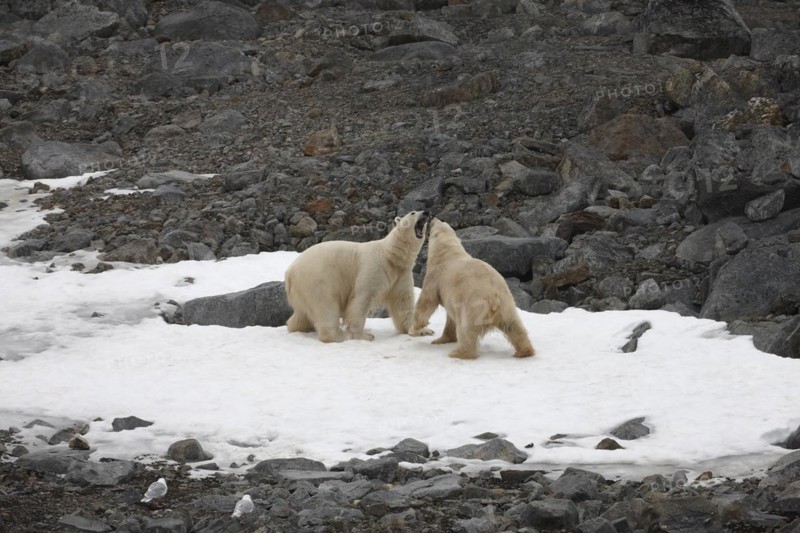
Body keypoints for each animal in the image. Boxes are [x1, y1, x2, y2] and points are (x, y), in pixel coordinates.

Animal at [284, 210, 431, 343]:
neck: (390, 255)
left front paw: (423, 331)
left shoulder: (401, 274)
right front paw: (364, 336)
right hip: (317, 280)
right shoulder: (374, 267)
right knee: (325, 306)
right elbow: (362, 298)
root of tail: (289, 272)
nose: (426, 212)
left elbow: (403, 302)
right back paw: (340, 336)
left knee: (301, 315)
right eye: (413, 213)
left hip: (302, 290)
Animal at [409, 218, 535, 360]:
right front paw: (441, 339)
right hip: (506, 304)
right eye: (443, 222)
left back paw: (458, 353)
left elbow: (427, 302)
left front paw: (415, 330)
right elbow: (450, 319)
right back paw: (525, 351)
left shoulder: (435, 276)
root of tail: (494, 298)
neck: (447, 252)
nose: (434, 218)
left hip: (473, 306)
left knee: (466, 330)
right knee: (514, 326)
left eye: (437, 224)